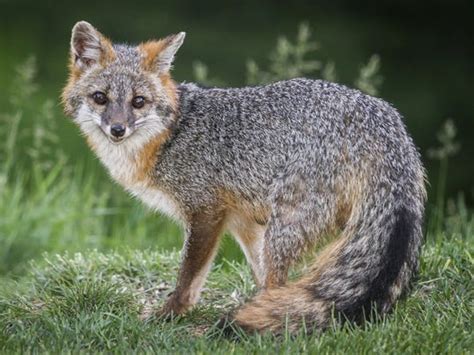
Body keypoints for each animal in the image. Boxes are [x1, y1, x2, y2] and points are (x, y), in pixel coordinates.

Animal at [61, 21, 428, 334]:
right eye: (100, 98)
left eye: (138, 102)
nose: (117, 129)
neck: (172, 135)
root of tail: (385, 119)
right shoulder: (243, 222)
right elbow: (258, 275)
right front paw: (259, 307)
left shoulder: (206, 213)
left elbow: (189, 277)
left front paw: (171, 313)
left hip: (286, 227)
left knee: (281, 279)